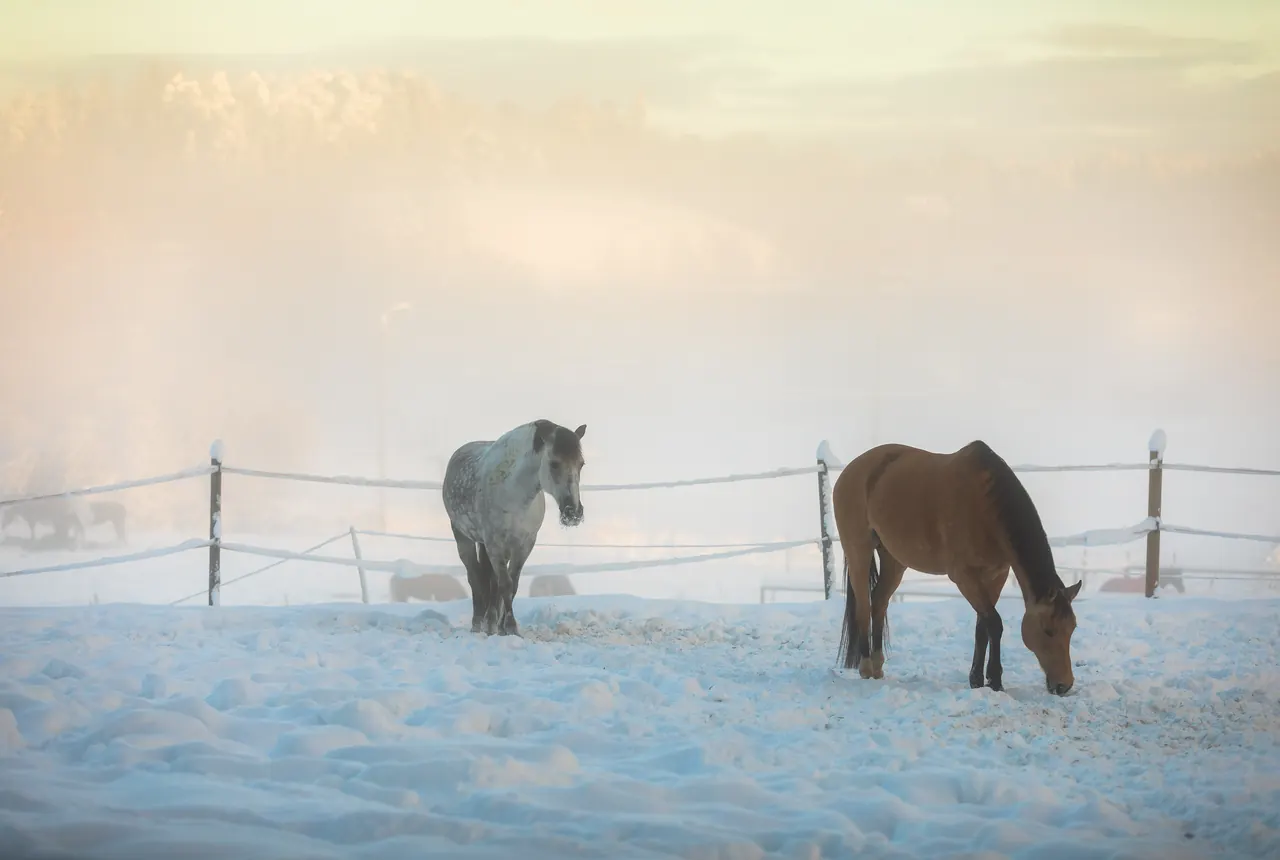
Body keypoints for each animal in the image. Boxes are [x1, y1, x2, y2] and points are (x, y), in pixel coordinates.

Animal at [442, 419, 587, 636]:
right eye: (554, 463)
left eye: (581, 464)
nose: (574, 513)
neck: (514, 492)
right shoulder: (494, 544)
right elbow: (505, 584)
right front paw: (510, 626)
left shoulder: (524, 544)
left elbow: (512, 584)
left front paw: (504, 628)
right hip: (464, 538)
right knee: (475, 578)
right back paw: (478, 624)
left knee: (490, 582)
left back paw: (491, 624)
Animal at [831, 440, 1082, 696]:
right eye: (1048, 630)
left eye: (1072, 628)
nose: (1064, 685)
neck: (985, 506)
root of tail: (850, 471)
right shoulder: (964, 576)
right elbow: (994, 623)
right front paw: (995, 680)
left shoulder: (996, 575)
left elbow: (982, 626)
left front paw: (977, 680)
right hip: (859, 551)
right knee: (864, 606)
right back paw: (865, 667)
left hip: (894, 559)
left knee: (879, 602)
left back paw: (878, 666)